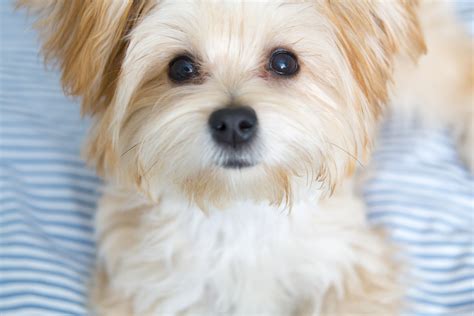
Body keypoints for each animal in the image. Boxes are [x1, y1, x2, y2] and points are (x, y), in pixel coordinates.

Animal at [18, 1, 470, 314]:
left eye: (284, 62)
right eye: (181, 68)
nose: (234, 122)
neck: (238, 211)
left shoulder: (352, 264)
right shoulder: (143, 285)